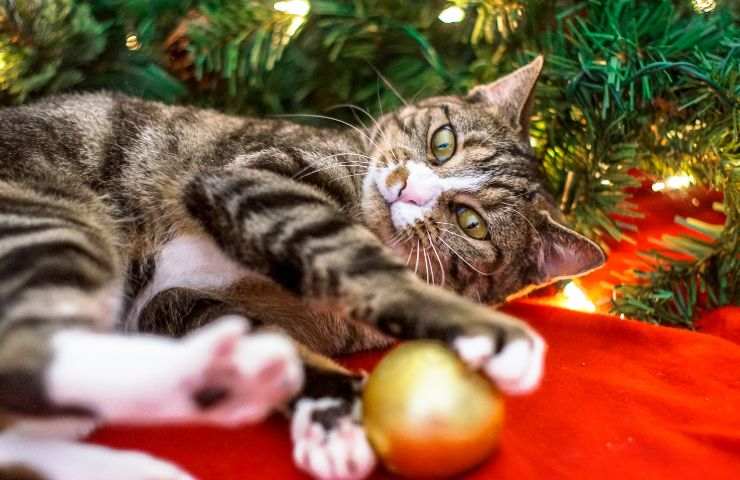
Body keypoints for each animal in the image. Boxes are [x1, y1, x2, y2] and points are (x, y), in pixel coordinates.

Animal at [0, 56, 604, 480]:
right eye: (442, 143)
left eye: (471, 222)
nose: (408, 189)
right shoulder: (251, 174)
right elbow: (356, 260)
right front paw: (486, 333)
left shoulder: (176, 303)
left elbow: (270, 339)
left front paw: (327, 417)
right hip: (49, 220)